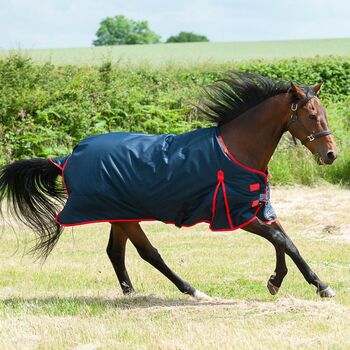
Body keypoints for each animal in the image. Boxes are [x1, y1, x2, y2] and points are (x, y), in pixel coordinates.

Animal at [0, 72, 340, 300]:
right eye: (312, 115)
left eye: (323, 112)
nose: (331, 154)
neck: (236, 149)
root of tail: (68, 157)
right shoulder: (236, 214)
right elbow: (281, 240)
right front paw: (310, 285)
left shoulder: (255, 207)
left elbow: (285, 240)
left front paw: (288, 282)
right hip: (125, 216)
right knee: (149, 253)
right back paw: (192, 290)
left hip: (120, 214)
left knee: (116, 252)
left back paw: (131, 293)